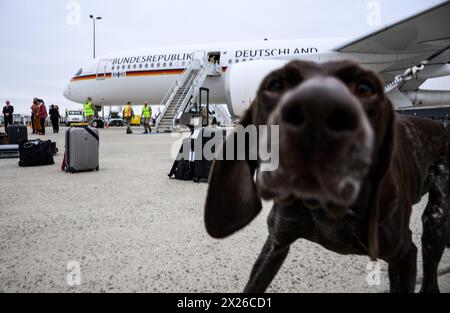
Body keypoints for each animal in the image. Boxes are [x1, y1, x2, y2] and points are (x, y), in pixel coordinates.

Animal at [205, 60, 450, 292]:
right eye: (276, 85)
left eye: (363, 88)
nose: (316, 108)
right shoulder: (275, 244)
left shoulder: (404, 254)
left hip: (433, 227)